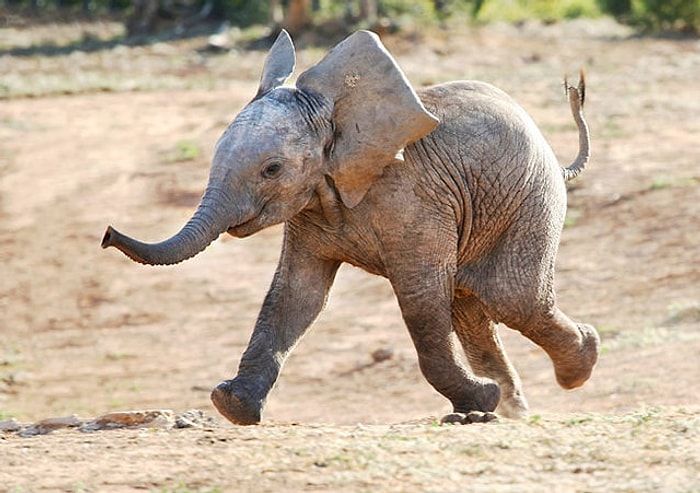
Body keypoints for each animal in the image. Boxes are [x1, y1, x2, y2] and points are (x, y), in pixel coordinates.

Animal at [101, 29, 600, 422]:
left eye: (272, 169)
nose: (106, 235)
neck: (336, 120)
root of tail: (556, 159)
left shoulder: (413, 201)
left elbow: (420, 298)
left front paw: (481, 401)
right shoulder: (311, 208)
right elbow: (296, 295)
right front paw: (232, 406)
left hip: (529, 200)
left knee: (511, 298)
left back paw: (577, 365)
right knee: (473, 306)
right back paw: (510, 408)